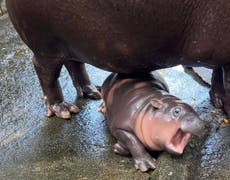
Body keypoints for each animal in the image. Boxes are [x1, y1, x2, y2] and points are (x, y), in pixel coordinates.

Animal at [5, 0, 230, 118]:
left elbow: (218, 73)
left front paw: (218, 101)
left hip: (71, 42)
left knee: (74, 63)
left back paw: (92, 92)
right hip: (46, 45)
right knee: (45, 72)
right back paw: (63, 110)